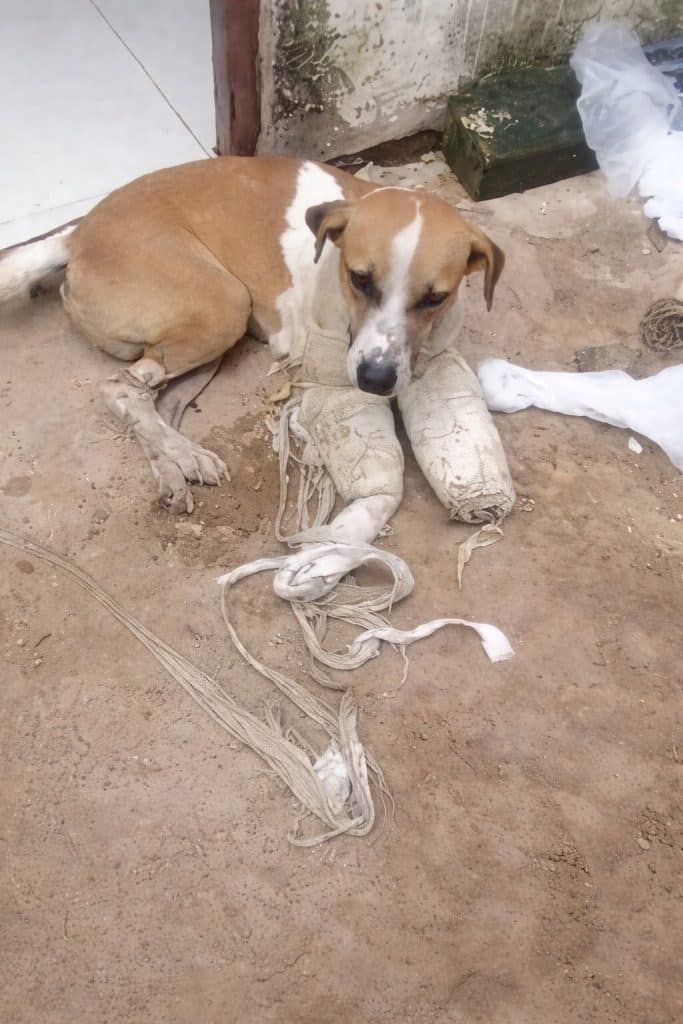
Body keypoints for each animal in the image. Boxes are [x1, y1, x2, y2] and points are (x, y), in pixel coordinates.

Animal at [0, 156, 503, 514]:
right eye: (360, 279)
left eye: (435, 297)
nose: (375, 381)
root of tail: (77, 232)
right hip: (225, 305)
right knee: (119, 388)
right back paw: (184, 457)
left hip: (212, 336)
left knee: (154, 403)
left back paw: (177, 467)